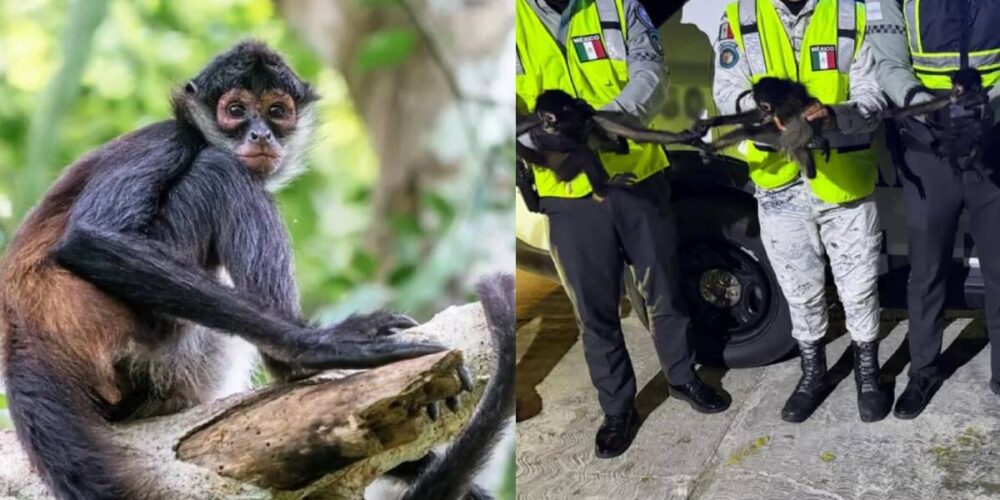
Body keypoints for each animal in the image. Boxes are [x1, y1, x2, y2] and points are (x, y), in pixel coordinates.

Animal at [0, 41, 512, 500]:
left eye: (277, 111)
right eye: (235, 110)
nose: (260, 135)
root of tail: (23, 338)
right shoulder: (166, 138)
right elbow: (88, 238)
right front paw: (319, 346)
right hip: (140, 336)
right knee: (219, 170)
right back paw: (292, 365)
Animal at [698, 77, 831, 179]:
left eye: (765, 106)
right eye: (761, 106)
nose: (766, 114)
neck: (782, 101)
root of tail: (788, 145)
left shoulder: (795, 92)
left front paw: (820, 138)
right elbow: (756, 116)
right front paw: (715, 121)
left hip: (791, 142)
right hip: (784, 140)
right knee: (746, 132)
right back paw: (708, 147)